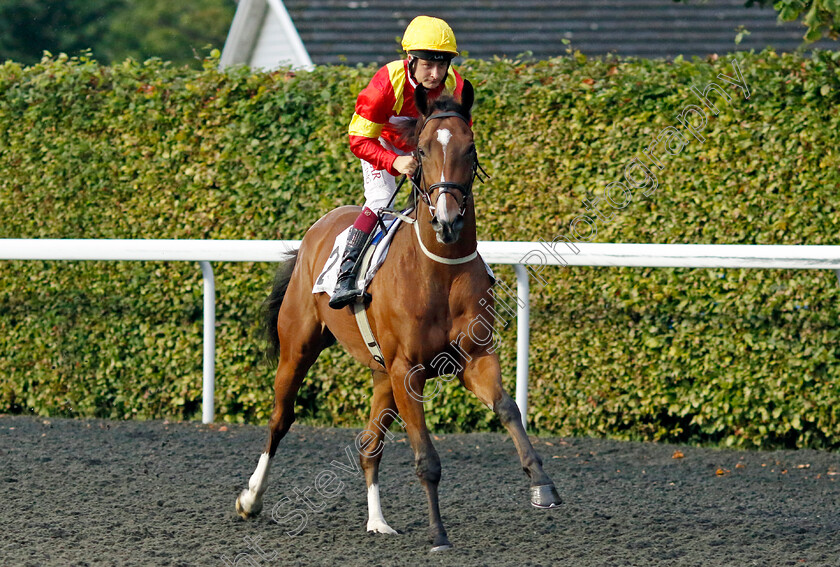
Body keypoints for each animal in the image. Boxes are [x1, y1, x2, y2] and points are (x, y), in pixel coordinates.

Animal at [236, 79, 560, 552]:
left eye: (470, 147)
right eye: (422, 150)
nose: (447, 221)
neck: (441, 272)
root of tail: (316, 229)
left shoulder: (472, 359)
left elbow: (507, 408)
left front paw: (542, 483)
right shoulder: (409, 369)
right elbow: (427, 457)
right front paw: (438, 533)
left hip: (382, 374)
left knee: (370, 444)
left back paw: (378, 521)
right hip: (298, 348)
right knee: (280, 419)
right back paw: (251, 499)